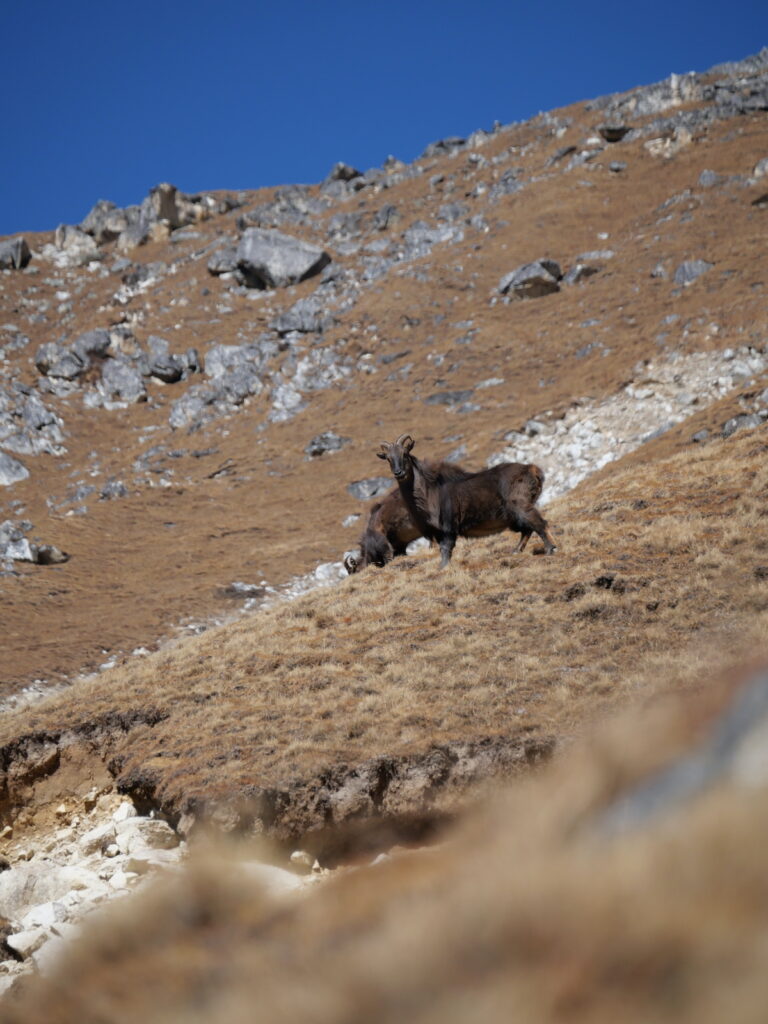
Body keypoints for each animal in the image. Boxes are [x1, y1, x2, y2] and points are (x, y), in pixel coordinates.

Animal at [380, 432, 557, 569]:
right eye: (388, 458)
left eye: (405, 454)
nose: (398, 472)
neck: (429, 492)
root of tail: (532, 470)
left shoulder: (448, 527)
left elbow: (446, 549)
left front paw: (442, 567)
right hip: (514, 516)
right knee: (527, 529)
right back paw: (516, 550)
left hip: (521, 506)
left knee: (539, 523)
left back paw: (550, 549)